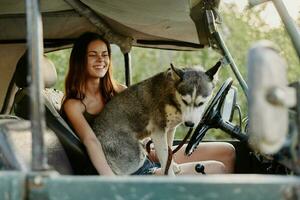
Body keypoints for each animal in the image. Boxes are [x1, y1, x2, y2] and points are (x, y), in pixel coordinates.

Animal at [92, 61, 221, 175]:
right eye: (185, 101)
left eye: (201, 103)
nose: (189, 124)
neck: (172, 95)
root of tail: (95, 129)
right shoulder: (158, 132)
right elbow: (165, 159)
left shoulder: (170, 130)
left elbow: (169, 152)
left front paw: (173, 166)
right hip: (137, 156)